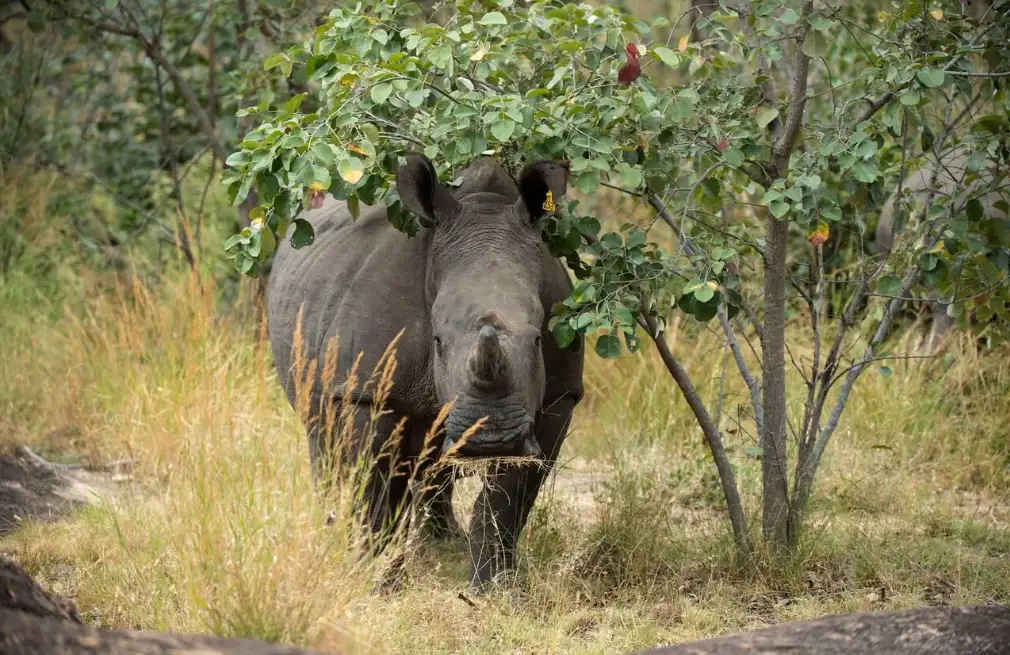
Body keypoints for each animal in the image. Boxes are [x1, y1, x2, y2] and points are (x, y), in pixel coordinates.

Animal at [266, 153, 585, 586]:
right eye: (437, 341)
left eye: (537, 339)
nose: (493, 438)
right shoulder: (363, 390)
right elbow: (370, 490)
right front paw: (373, 582)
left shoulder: (560, 394)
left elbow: (508, 499)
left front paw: (492, 586)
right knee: (329, 445)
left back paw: (441, 542)